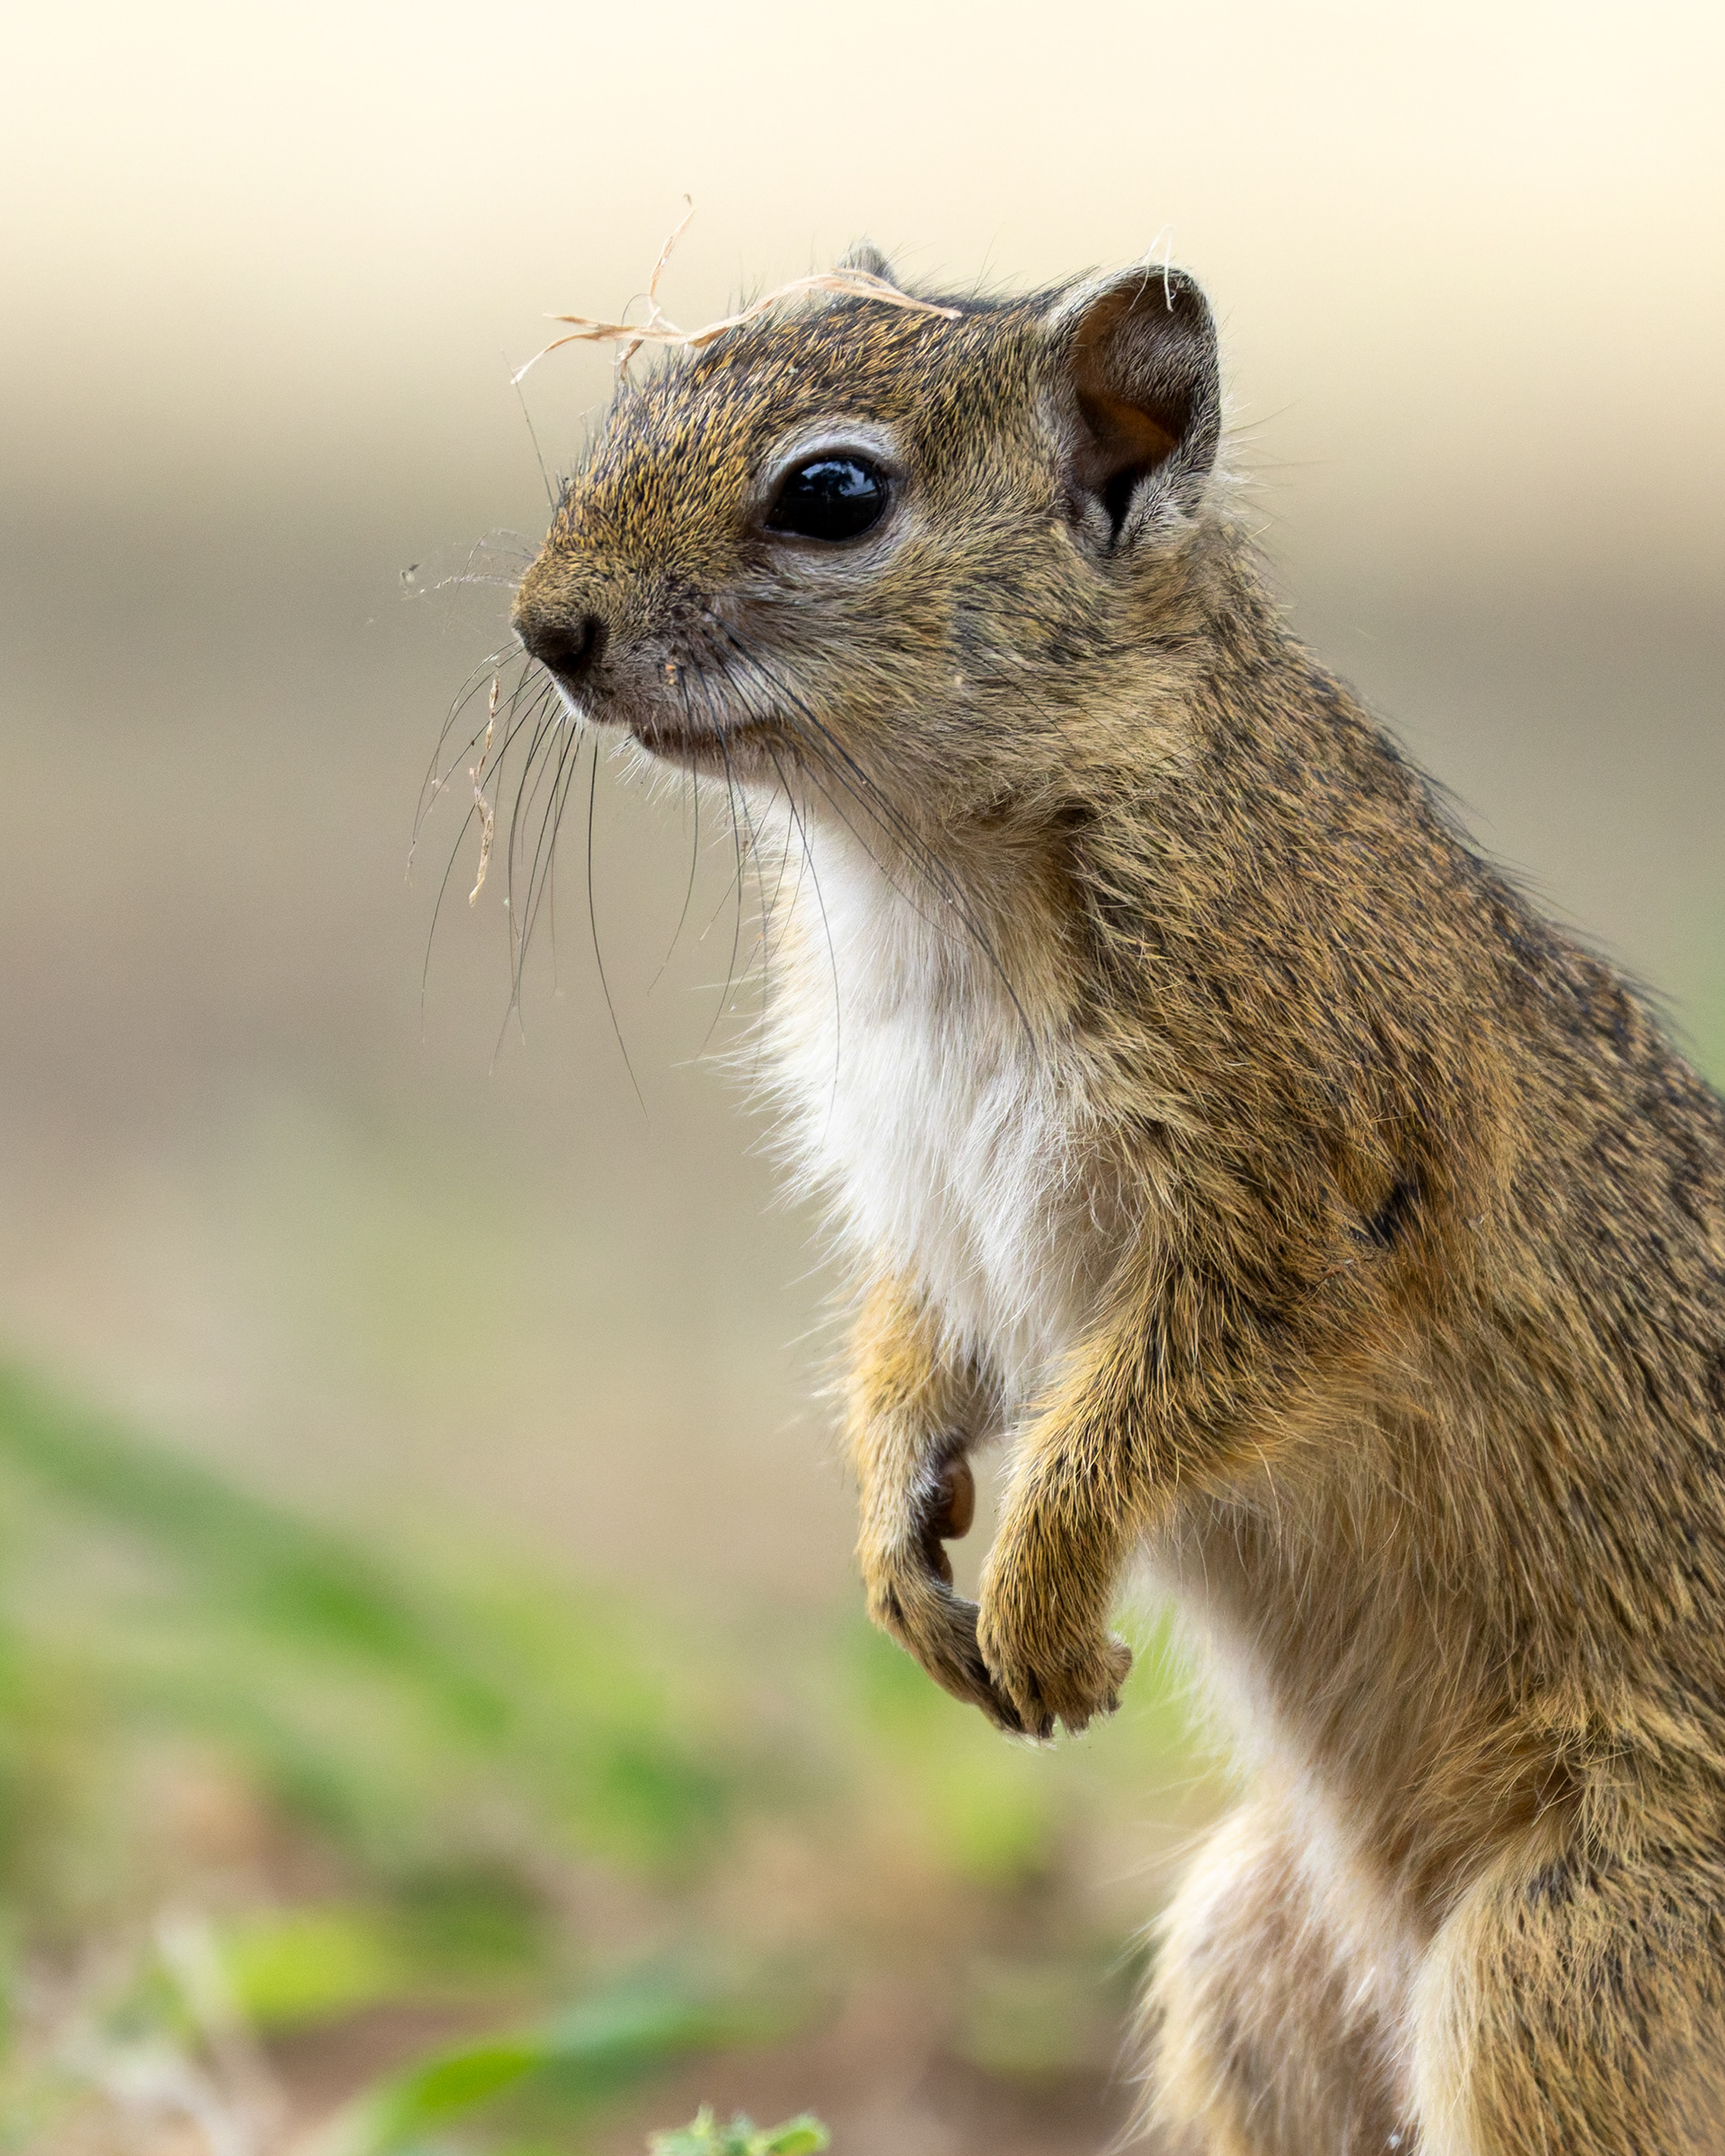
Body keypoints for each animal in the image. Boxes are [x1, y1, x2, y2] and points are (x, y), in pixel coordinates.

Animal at [508, 242, 1725, 2153]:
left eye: (833, 494)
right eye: (640, 394)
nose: (548, 628)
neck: (918, 863)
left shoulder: (1316, 1182)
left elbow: (1148, 1410)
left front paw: (1039, 1598)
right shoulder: (927, 1209)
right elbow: (911, 1353)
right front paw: (901, 1553)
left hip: (1573, 1959)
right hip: (1252, 1964)